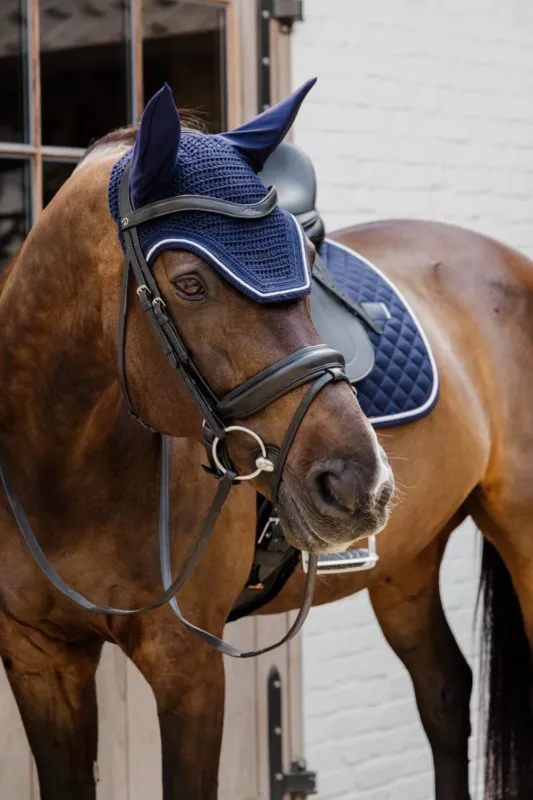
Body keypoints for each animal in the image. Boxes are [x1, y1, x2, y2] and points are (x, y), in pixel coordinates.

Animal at [0, 81, 394, 800]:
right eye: (189, 282)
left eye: (308, 261)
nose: (362, 486)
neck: (60, 471)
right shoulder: (38, 658)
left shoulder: (190, 666)